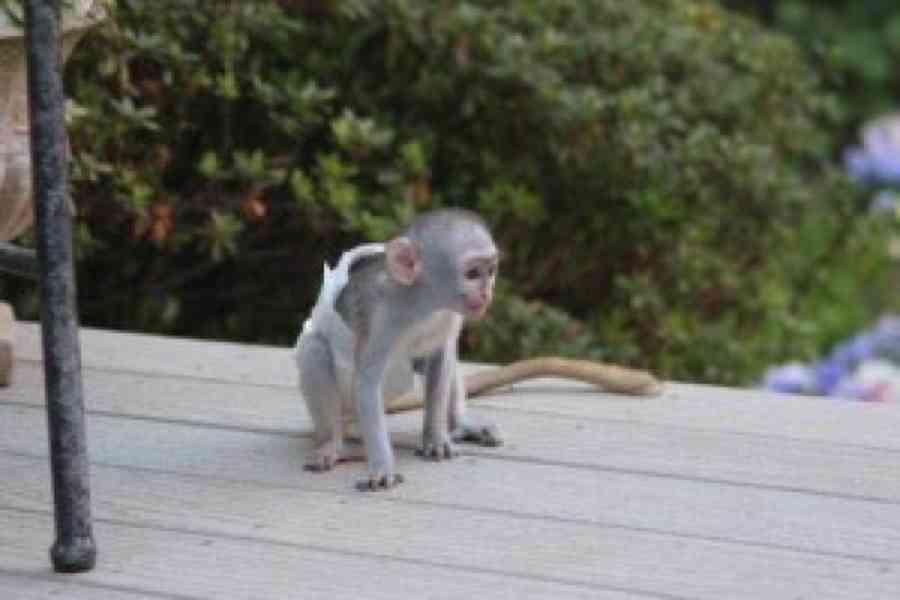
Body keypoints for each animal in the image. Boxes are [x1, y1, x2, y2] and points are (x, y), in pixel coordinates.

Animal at [295, 208, 662, 491]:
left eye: (491, 270)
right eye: (473, 273)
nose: (486, 292)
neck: (421, 304)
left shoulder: (448, 316)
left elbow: (441, 360)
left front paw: (436, 437)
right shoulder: (384, 316)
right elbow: (368, 381)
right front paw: (383, 466)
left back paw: (460, 424)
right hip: (347, 407)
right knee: (316, 351)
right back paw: (332, 443)